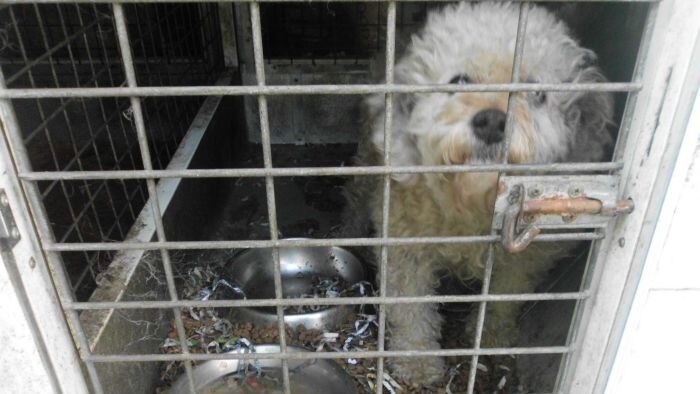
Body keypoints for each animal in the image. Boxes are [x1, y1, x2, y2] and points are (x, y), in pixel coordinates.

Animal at [348, 1, 616, 384]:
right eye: (459, 81)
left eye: (537, 93)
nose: (492, 121)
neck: (473, 203)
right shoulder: (405, 243)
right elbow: (410, 305)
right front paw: (417, 361)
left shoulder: (527, 256)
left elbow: (505, 294)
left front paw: (490, 336)